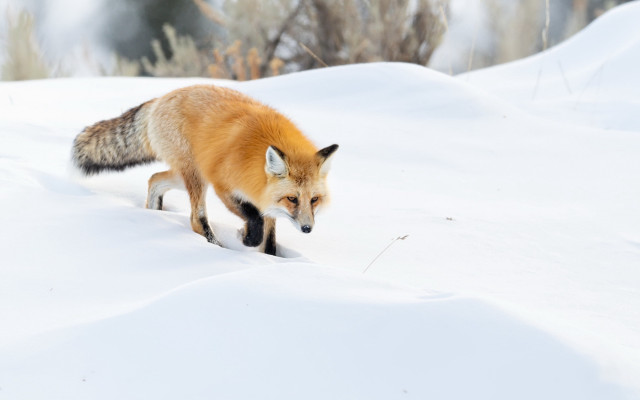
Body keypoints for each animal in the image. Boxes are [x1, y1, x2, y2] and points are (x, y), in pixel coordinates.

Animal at [71, 84, 338, 256]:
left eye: (314, 199)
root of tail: (160, 99)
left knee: (154, 179)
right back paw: (215, 247)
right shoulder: (225, 186)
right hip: (197, 176)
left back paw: (153, 213)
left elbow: (270, 241)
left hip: (185, 176)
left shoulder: (265, 199)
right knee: (196, 220)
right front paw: (247, 239)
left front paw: (267, 259)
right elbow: (254, 220)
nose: (307, 229)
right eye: (292, 198)